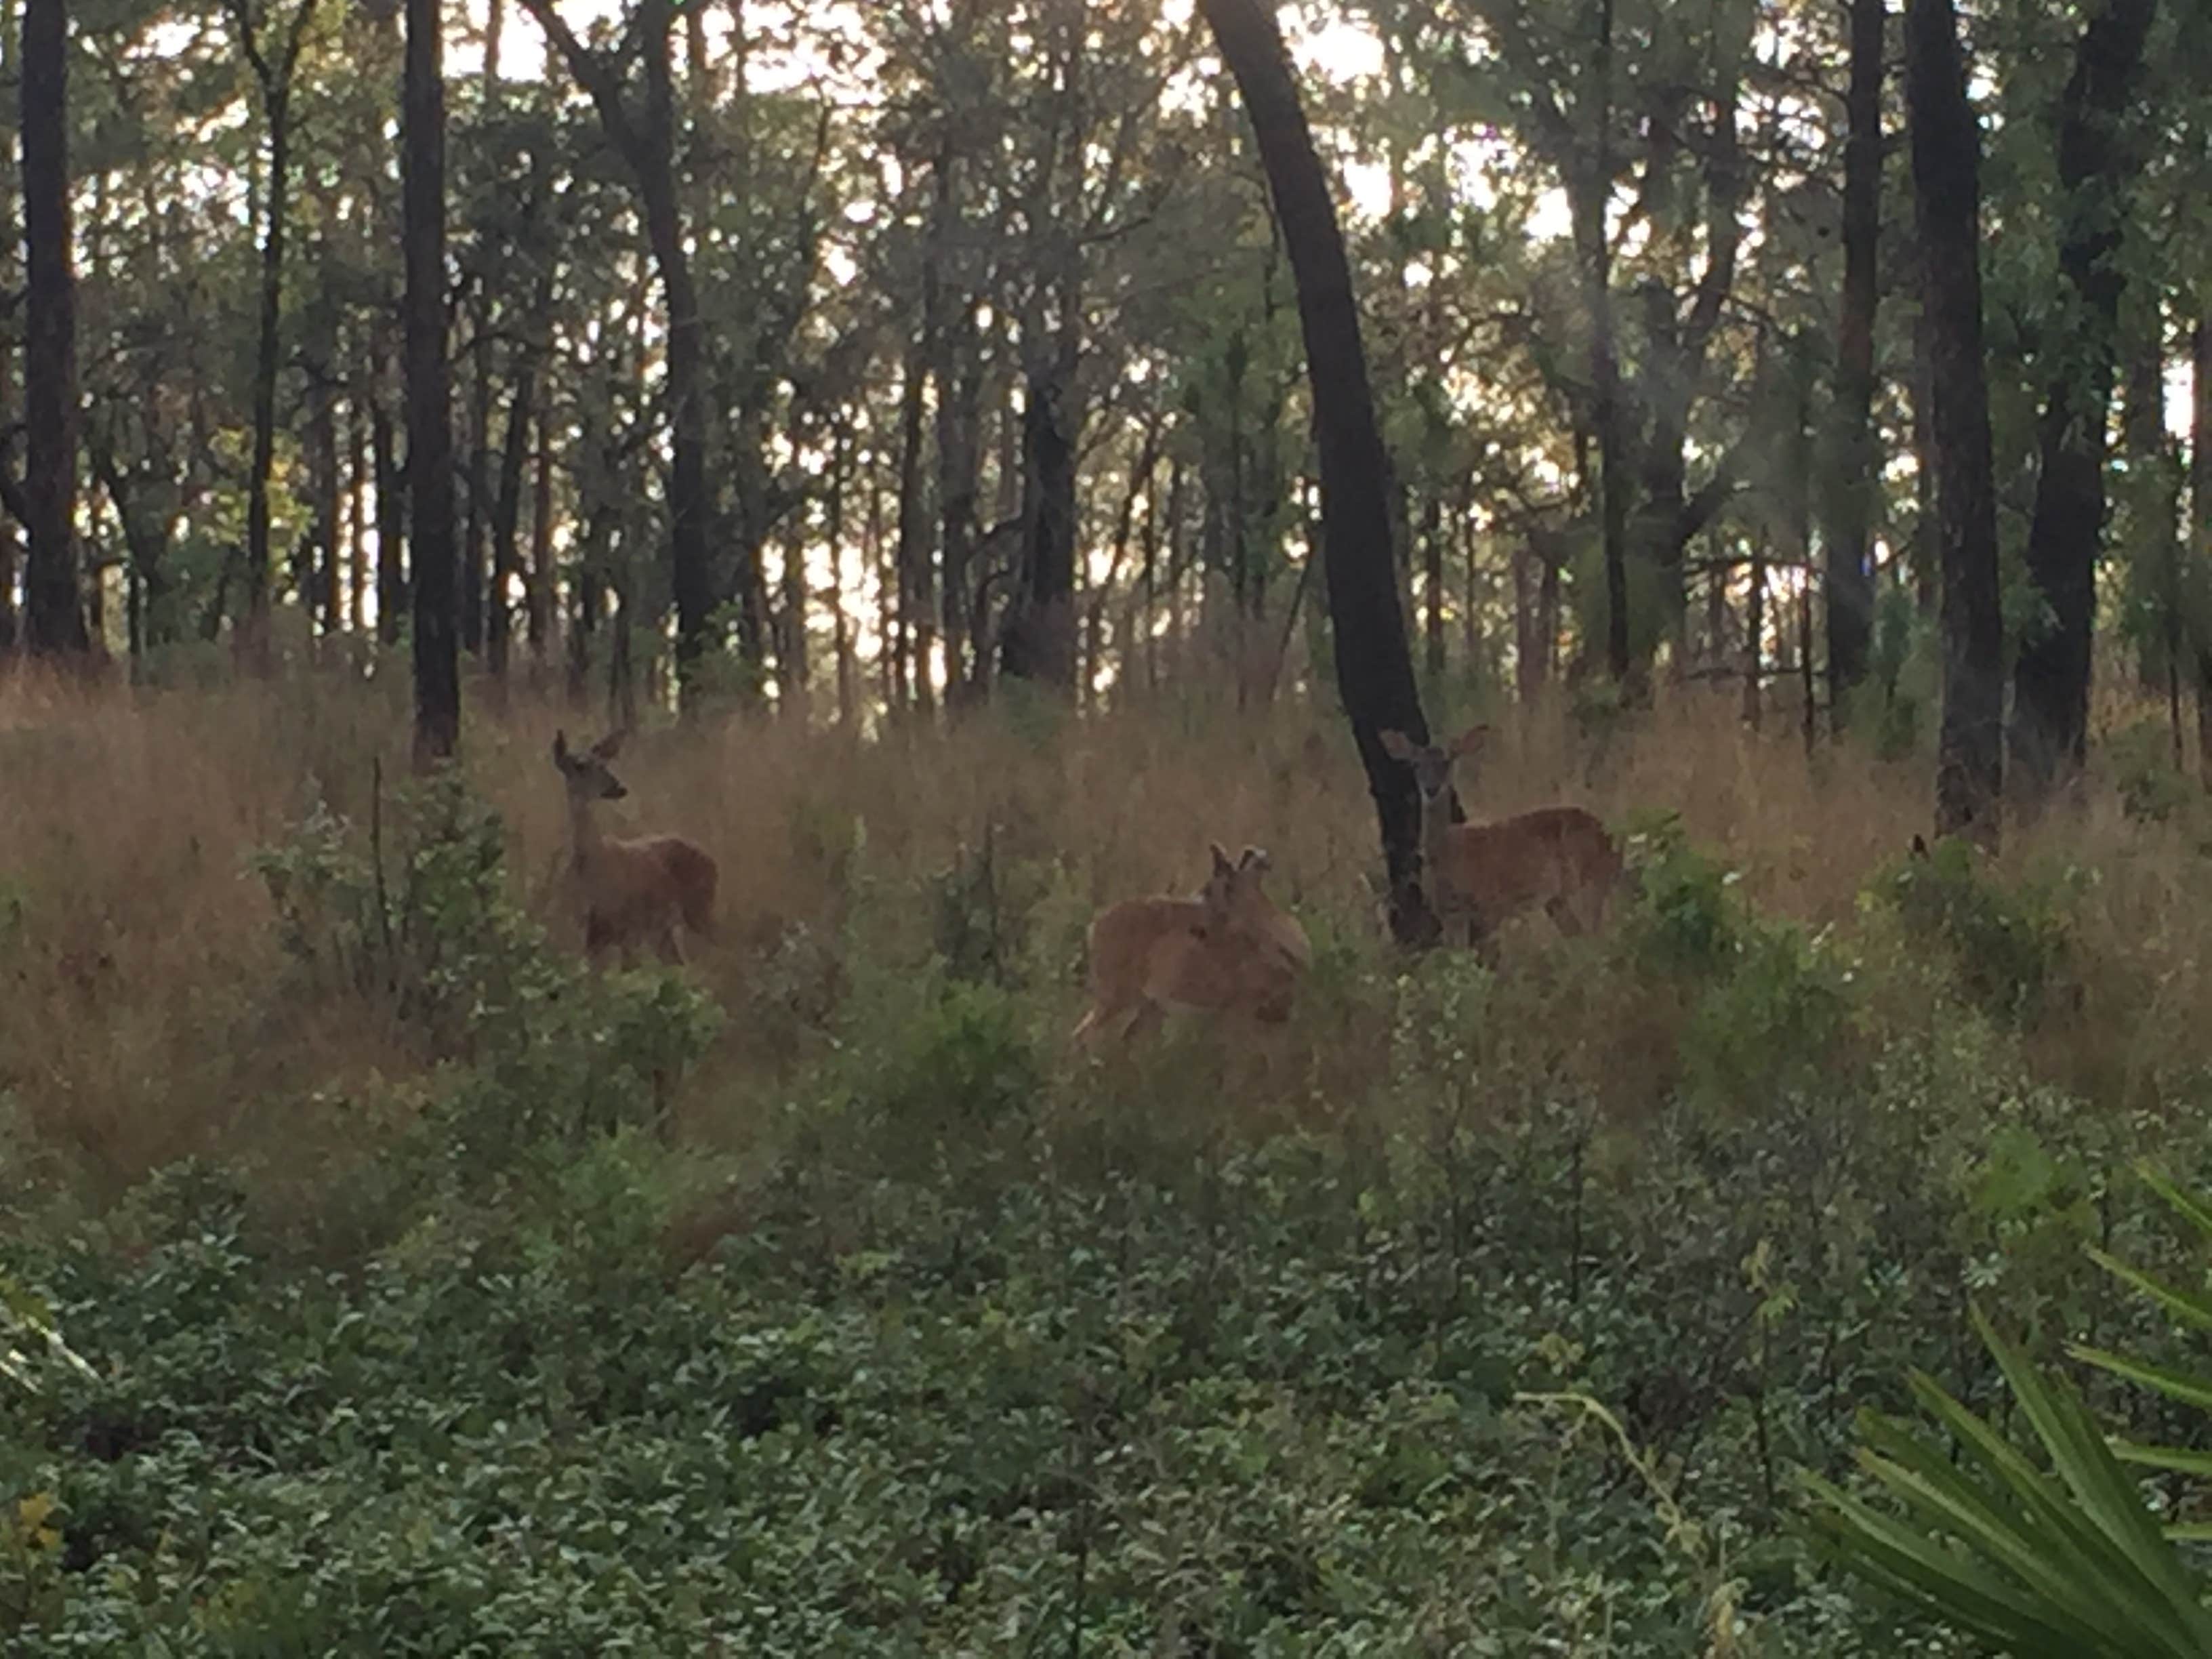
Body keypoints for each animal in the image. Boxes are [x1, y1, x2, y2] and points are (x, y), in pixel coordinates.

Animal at [550, 730, 716, 973]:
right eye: (580, 766)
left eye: (603, 763)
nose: (619, 787)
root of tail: (712, 860)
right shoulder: (593, 934)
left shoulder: (627, 931)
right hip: (664, 929)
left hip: (699, 908)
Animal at [1075, 844, 1309, 1052]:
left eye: (1213, 887)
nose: (1196, 929)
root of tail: (1094, 927)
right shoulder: (1239, 1012)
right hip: (1116, 997)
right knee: (1085, 1035)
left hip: (1148, 1006)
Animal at [1380, 725, 1628, 956]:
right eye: (1415, 765)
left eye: (1447, 761)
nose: (1431, 789)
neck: (1449, 854)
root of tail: (1610, 840)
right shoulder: (1450, 916)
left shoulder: (1489, 907)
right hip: (1557, 899)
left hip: (1589, 881)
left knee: (1597, 934)